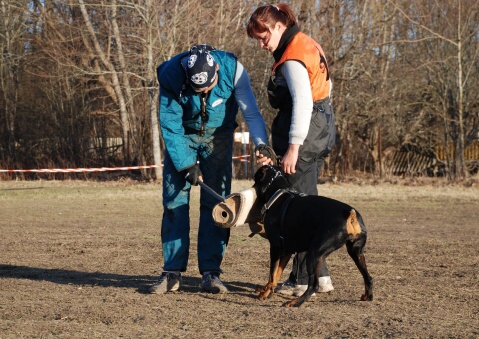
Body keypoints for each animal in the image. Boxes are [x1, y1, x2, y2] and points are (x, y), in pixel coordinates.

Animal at [253, 165, 374, 308]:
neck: (278, 193)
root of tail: (351, 215)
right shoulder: (287, 250)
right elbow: (277, 274)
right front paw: (266, 289)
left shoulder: (275, 247)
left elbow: (272, 274)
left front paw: (265, 294)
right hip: (355, 251)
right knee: (368, 277)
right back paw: (367, 296)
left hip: (313, 254)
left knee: (313, 285)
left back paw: (295, 302)